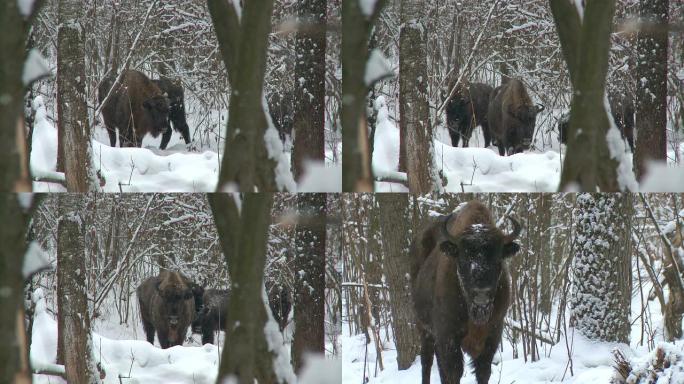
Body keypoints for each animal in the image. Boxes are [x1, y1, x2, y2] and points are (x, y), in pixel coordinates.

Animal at [412, 201, 520, 384]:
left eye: (498, 257)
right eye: (463, 257)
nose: (481, 295)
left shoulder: (493, 335)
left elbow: (483, 371)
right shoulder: (448, 337)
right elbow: (454, 372)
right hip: (424, 329)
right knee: (426, 362)